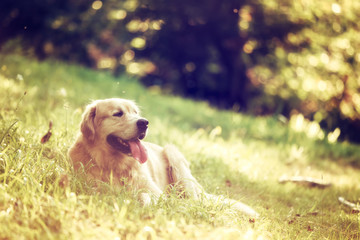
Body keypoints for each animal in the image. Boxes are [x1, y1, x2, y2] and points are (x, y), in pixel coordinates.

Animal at [68, 97, 258, 218]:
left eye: (135, 113)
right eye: (118, 114)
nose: (144, 122)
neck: (114, 165)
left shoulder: (155, 192)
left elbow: (146, 197)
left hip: (174, 156)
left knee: (193, 201)